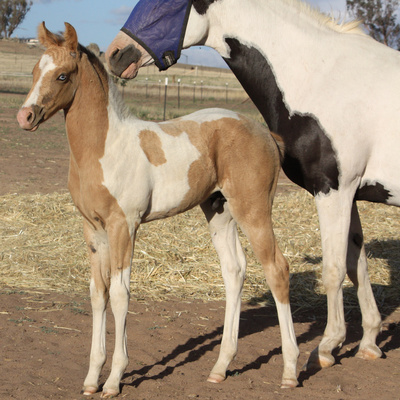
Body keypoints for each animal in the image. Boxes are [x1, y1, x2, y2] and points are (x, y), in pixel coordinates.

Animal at [17, 23, 298, 398]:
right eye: (35, 71)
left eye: (62, 75)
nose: (25, 116)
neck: (104, 147)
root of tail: (266, 134)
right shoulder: (93, 229)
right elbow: (97, 294)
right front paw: (91, 378)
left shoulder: (124, 226)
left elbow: (120, 294)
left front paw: (114, 379)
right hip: (220, 211)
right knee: (234, 271)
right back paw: (220, 368)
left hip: (254, 210)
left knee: (277, 269)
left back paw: (290, 371)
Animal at [105, 0, 396, 372]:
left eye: (167, 4)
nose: (115, 54)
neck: (322, 75)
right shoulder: (349, 192)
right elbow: (355, 263)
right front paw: (370, 340)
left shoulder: (334, 190)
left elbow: (333, 269)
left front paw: (327, 346)